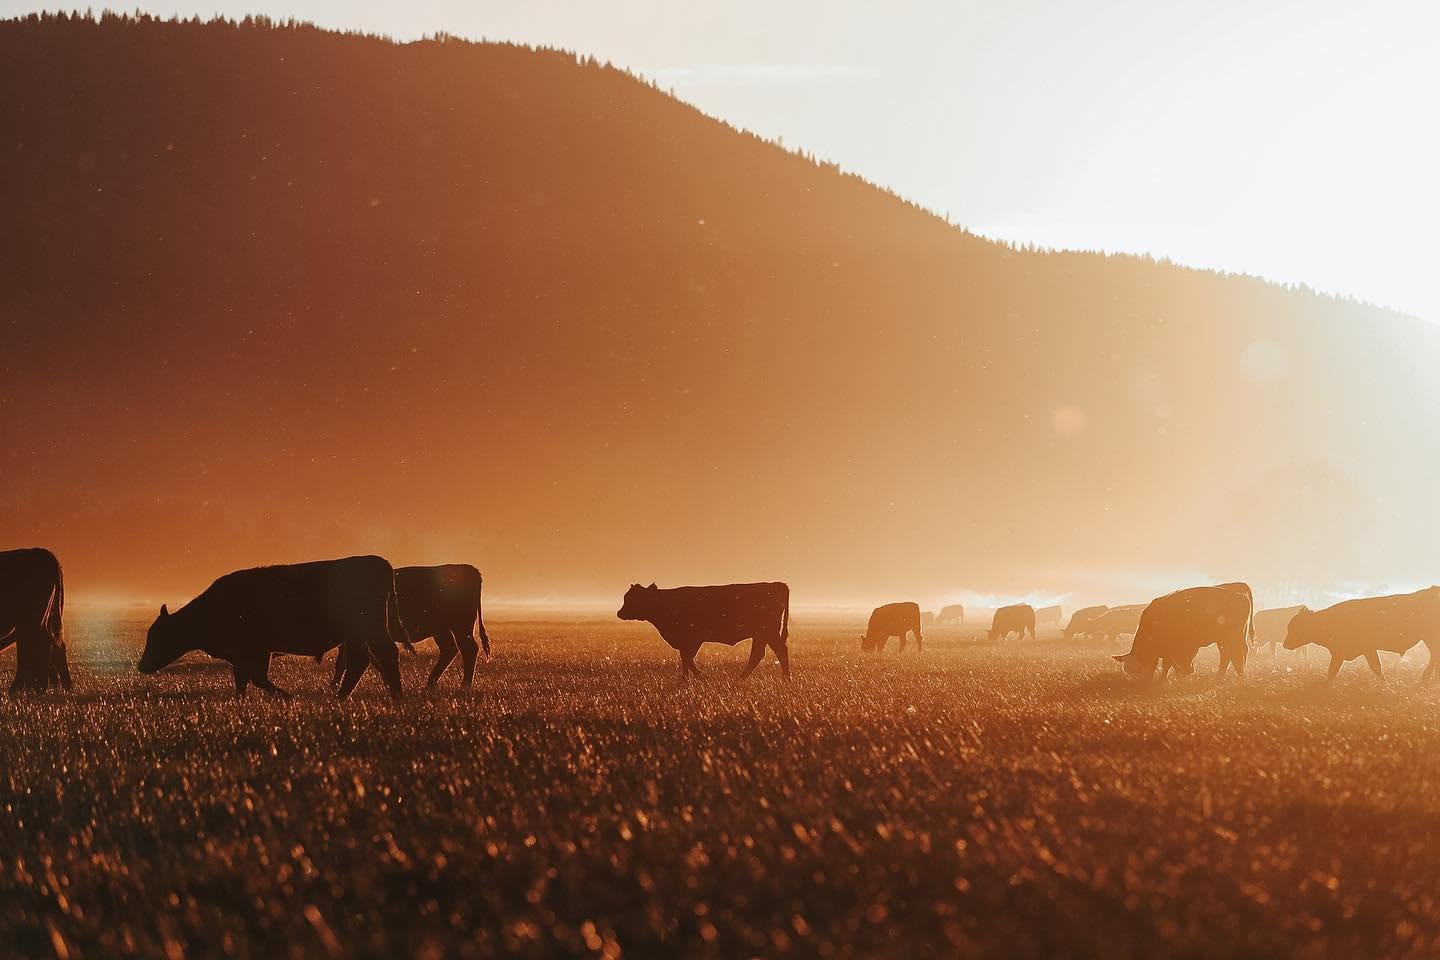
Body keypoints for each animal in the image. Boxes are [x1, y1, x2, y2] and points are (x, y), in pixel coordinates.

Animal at [138, 555, 406, 699]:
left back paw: (393, 697)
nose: (142, 666)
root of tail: (380, 562)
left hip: (369, 629)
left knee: (384, 654)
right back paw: (345, 697)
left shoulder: (255, 650)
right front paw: (240, 702)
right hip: (357, 635)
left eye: (158, 636)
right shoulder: (244, 655)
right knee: (362, 660)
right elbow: (242, 680)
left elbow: (257, 678)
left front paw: (287, 696)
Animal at [327, 563, 491, 689]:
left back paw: (464, 686)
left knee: (468, 649)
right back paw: (430, 684)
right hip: (442, 629)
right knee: (450, 649)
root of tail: (469, 569)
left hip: (460, 626)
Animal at [617, 582, 790, 683]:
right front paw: (685, 681)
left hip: (768, 631)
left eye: (634, 598)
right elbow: (685, 659)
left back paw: (785, 679)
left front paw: (699, 678)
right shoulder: (686, 641)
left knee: (779, 650)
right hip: (761, 634)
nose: (619, 613)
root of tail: (777, 584)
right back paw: (742, 679)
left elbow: (687, 658)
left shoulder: (693, 639)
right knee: (758, 654)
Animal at [1113, 582, 1255, 683]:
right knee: (1229, 654)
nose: (1141, 683)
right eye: (1128, 672)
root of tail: (1238, 588)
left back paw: (1237, 676)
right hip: (1226, 638)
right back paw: (1225, 676)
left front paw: (1165, 679)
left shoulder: (1175, 649)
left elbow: (1169, 664)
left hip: (1234, 635)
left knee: (1237, 652)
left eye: (1139, 669)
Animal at [1284, 587, 1440, 683]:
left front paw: (1385, 684)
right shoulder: (1342, 653)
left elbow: (1375, 667)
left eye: (1295, 627)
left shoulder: (1366, 649)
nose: (1285, 644)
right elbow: (1332, 671)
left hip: (1430, 638)